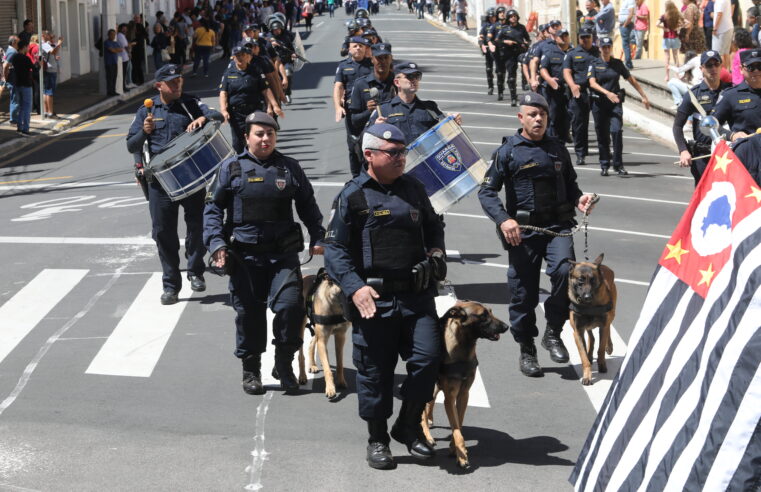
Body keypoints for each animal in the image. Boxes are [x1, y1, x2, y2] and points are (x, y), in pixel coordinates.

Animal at [296, 270, 350, 400]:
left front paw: (341, 381)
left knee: (311, 344)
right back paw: (302, 376)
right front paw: (330, 388)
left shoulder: (340, 337)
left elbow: (340, 363)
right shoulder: (322, 341)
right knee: (300, 355)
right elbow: (327, 369)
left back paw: (313, 365)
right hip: (301, 327)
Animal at [418, 302, 508, 470]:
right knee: (422, 412)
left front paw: (454, 448)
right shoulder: (450, 397)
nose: (506, 327)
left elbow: (458, 423)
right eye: (483, 315)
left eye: (491, 311)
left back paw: (430, 420)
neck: (463, 348)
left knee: (429, 404)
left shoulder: (463, 395)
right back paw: (427, 435)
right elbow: (456, 428)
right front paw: (461, 456)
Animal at [568, 256, 616, 386]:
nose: (587, 297)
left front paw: (602, 364)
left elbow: (601, 350)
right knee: (592, 338)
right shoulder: (577, 332)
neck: (589, 306)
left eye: (593, 280)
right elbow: (583, 356)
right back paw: (590, 353)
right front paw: (587, 376)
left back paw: (609, 347)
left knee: (609, 327)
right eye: (580, 280)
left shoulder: (603, 326)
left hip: (611, 314)